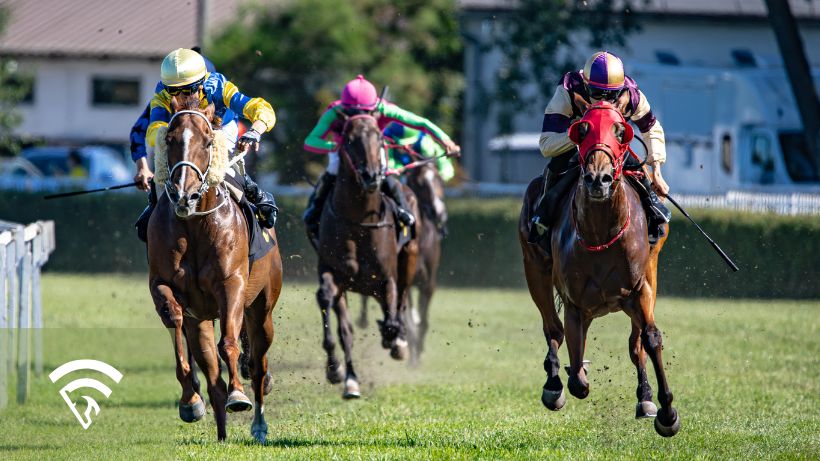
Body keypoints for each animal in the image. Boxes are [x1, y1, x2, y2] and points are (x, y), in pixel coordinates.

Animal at [147, 94, 282, 442]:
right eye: (169, 139)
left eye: (208, 141)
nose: (185, 194)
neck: (195, 226)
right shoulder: (164, 285)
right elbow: (175, 320)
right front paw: (190, 399)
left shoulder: (231, 284)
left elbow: (230, 343)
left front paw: (239, 394)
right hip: (203, 321)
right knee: (212, 377)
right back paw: (220, 432)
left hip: (262, 311)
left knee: (259, 365)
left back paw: (258, 424)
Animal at [312, 114, 419, 399]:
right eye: (349, 140)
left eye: (380, 138)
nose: (372, 175)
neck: (359, 221)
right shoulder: (334, 275)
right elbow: (337, 320)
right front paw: (339, 372)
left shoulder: (386, 278)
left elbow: (393, 314)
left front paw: (396, 340)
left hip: (410, 256)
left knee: (401, 302)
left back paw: (398, 341)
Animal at [518, 101, 680, 437]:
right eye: (582, 129)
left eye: (620, 132)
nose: (598, 179)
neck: (601, 234)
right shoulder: (575, 302)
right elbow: (577, 376)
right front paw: (569, 377)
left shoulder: (639, 290)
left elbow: (650, 339)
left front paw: (666, 412)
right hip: (534, 267)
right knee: (554, 329)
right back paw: (554, 384)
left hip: (650, 273)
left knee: (634, 344)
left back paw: (644, 398)